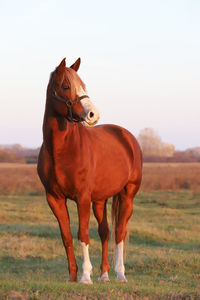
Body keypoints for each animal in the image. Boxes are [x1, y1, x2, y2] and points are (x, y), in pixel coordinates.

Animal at [37, 56, 142, 284]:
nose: (93, 114)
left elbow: (83, 234)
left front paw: (85, 276)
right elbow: (67, 236)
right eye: (66, 86)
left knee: (120, 232)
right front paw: (72, 276)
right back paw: (104, 274)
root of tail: (126, 136)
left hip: (127, 195)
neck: (63, 149)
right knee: (105, 232)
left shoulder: (82, 197)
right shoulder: (54, 199)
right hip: (100, 200)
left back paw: (120, 274)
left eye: (83, 85)